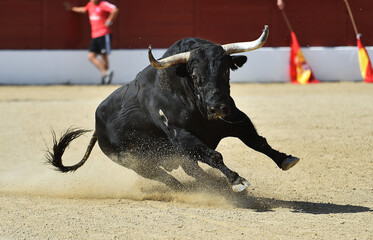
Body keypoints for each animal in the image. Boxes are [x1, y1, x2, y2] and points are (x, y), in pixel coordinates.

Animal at [46, 25, 298, 192]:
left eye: (226, 71)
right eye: (194, 75)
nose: (217, 108)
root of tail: (97, 128)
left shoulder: (235, 119)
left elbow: (258, 141)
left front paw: (285, 159)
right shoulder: (181, 136)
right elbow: (215, 155)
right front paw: (237, 182)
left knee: (192, 171)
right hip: (135, 163)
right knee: (168, 177)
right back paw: (190, 189)